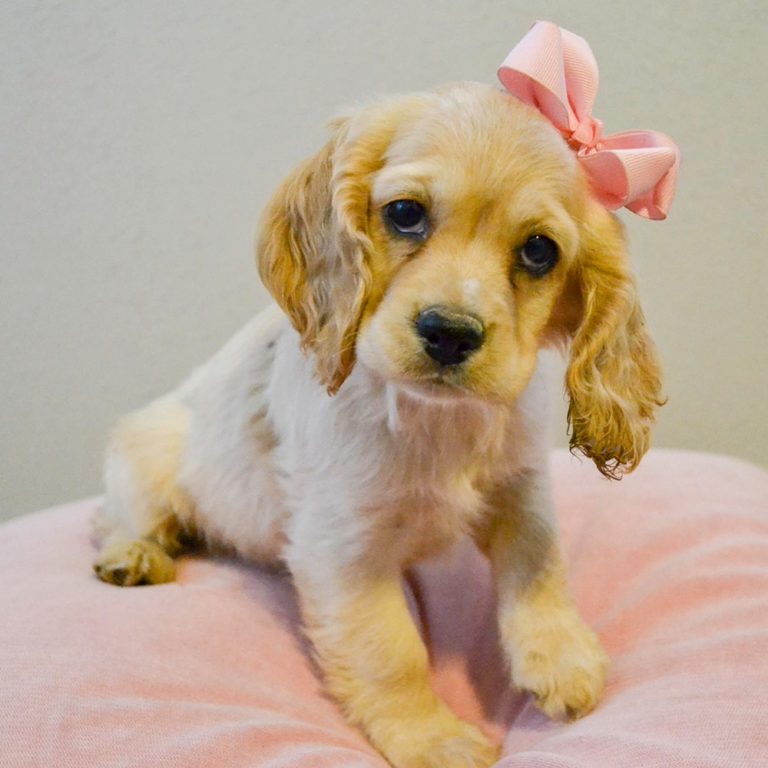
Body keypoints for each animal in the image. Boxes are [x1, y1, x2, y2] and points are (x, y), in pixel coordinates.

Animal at [90, 79, 664, 768]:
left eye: (538, 250)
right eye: (405, 213)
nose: (450, 333)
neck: (436, 419)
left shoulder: (520, 484)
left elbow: (539, 561)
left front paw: (559, 655)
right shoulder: (343, 549)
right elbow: (390, 651)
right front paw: (433, 738)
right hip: (148, 454)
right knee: (117, 518)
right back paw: (134, 554)